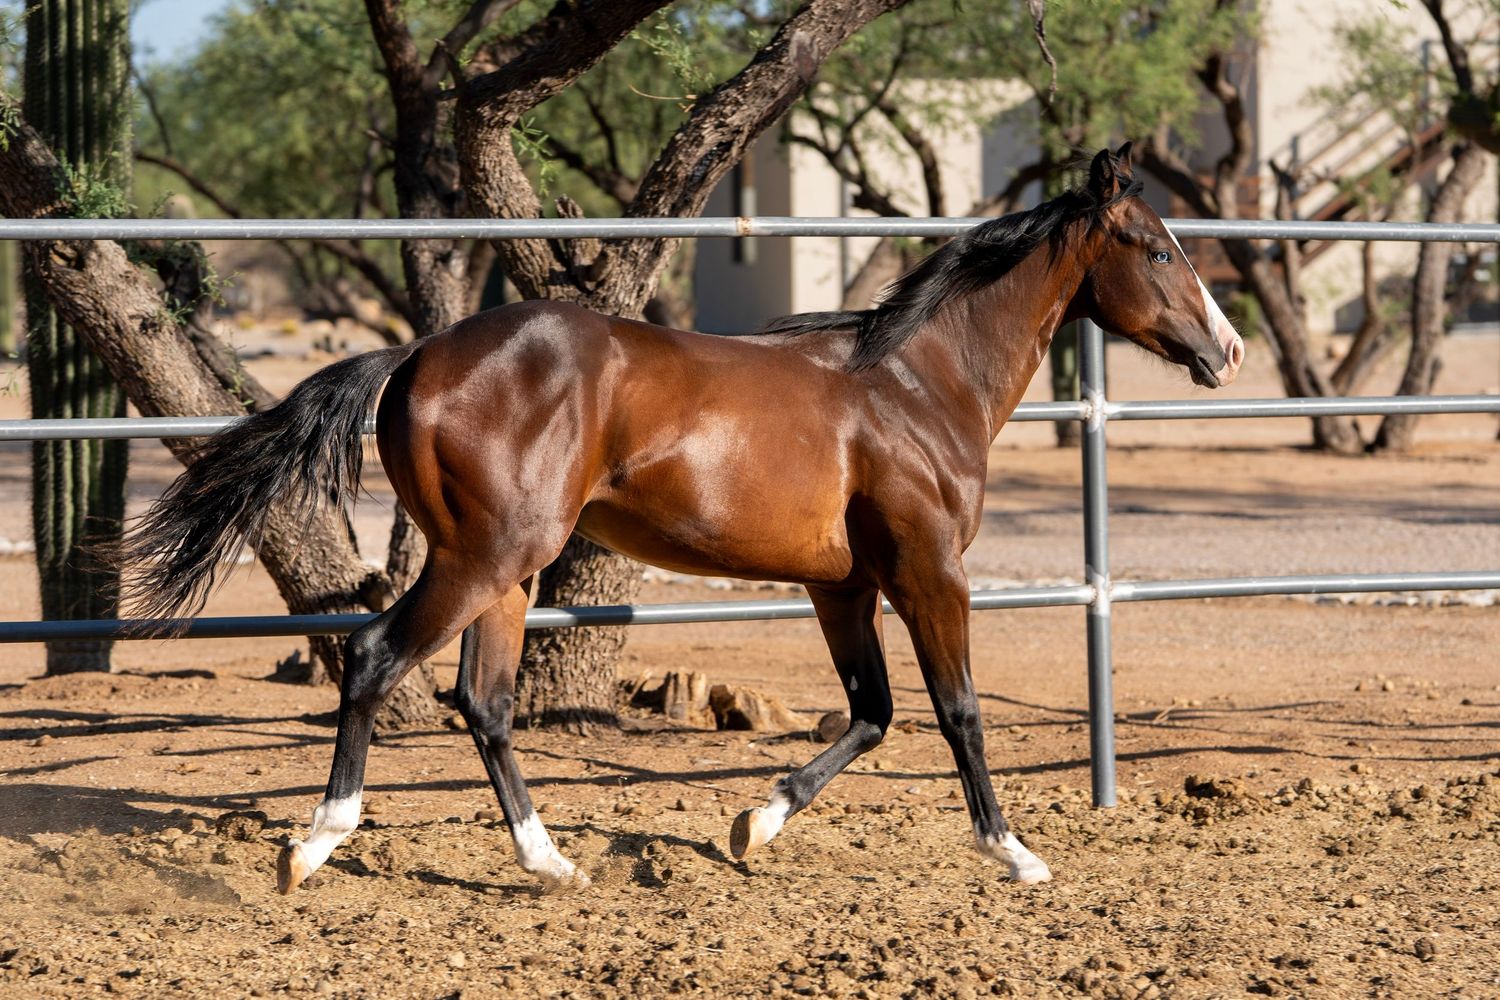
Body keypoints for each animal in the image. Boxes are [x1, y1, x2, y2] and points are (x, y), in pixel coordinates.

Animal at [120, 144, 1242, 894]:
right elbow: (958, 709)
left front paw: (753, 824)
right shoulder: (930, 572)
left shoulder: (841, 585)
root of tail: (413, 357)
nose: (1226, 350)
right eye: (1155, 247)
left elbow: (871, 712)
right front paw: (1015, 854)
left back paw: (552, 863)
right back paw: (313, 844)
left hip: (506, 571)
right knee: (374, 658)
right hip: (486, 555)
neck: (916, 388)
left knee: (484, 702)